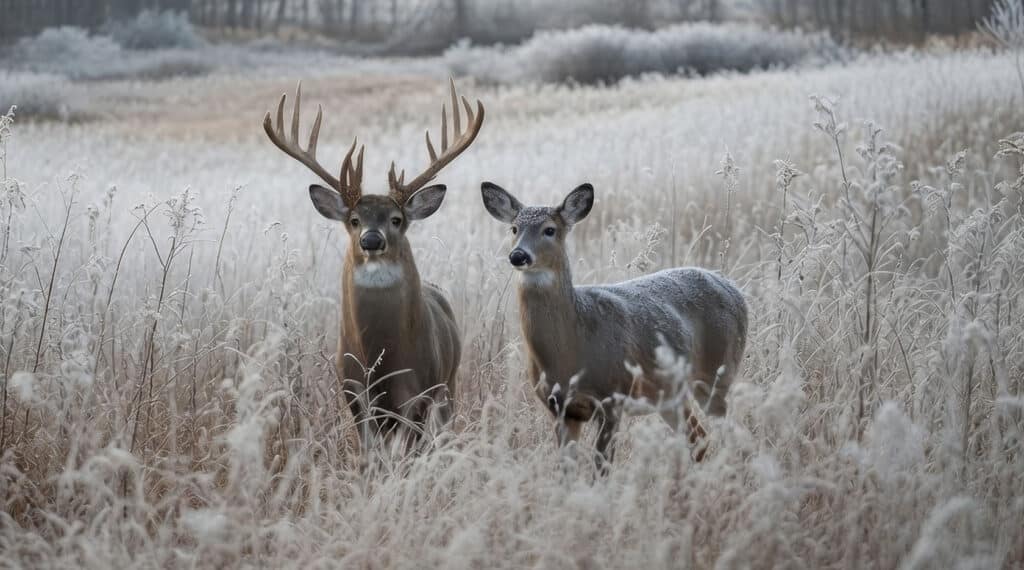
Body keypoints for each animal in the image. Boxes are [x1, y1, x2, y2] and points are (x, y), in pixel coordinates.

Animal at [263, 79, 484, 452]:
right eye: (354, 220)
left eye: (396, 219)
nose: (371, 239)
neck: (383, 356)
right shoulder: (354, 395)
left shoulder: (417, 396)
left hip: (448, 384)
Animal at [480, 181, 748, 470]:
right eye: (514, 228)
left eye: (549, 229)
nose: (518, 255)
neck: (570, 350)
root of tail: (734, 290)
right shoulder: (560, 409)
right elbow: (566, 470)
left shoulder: (613, 398)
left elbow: (601, 468)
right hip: (670, 394)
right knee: (698, 437)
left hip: (717, 375)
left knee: (733, 435)